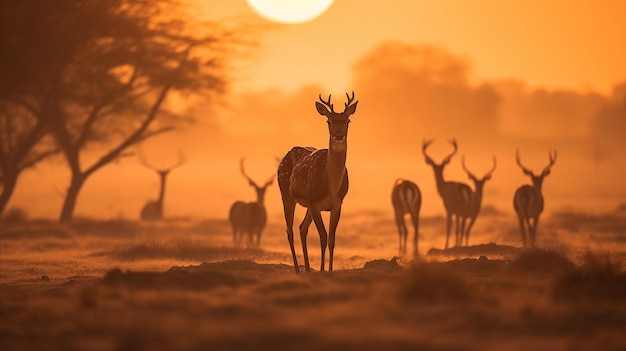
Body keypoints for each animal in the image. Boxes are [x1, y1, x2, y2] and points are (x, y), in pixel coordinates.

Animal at [276, 91, 358, 276]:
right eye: (329, 121)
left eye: (347, 121)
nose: (339, 135)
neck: (331, 186)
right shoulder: (315, 202)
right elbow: (323, 236)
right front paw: (321, 270)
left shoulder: (337, 204)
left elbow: (332, 238)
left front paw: (330, 270)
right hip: (287, 194)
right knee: (290, 230)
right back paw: (298, 270)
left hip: (307, 204)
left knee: (302, 228)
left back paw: (307, 268)